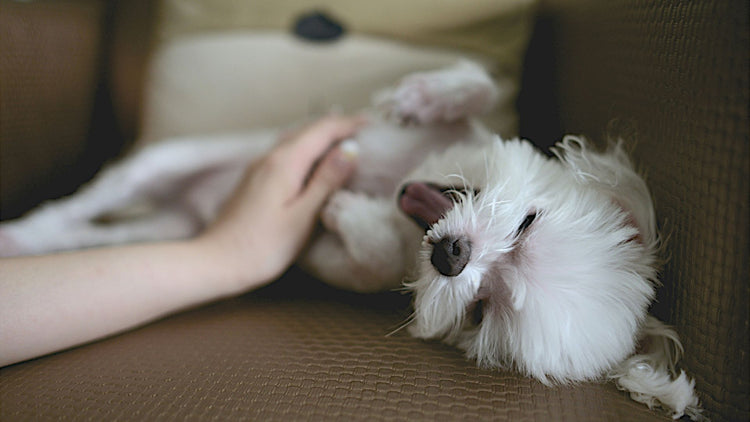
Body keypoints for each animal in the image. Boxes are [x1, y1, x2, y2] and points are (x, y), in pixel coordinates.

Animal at [0, 61, 704, 420]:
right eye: (529, 223)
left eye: (482, 310)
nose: (452, 256)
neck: (406, 185)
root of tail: (189, 206)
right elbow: (479, 84)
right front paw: (425, 96)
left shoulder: (348, 262)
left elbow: (365, 258)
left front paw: (347, 210)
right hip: (168, 161)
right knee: (96, 198)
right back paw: (23, 230)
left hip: (170, 229)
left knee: (93, 232)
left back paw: (29, 241)